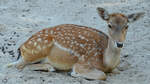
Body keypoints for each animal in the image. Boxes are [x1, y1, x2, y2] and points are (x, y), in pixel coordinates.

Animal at [6, 7, 145, 80]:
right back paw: (50, 67)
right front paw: (73, 73)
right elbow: (102, 75)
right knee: (18, 66)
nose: (119, 44)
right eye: (109, 25)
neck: (105, 61)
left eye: (127, 26)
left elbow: (116, 71)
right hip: (37, 50)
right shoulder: (83, 62)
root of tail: (21, 48)